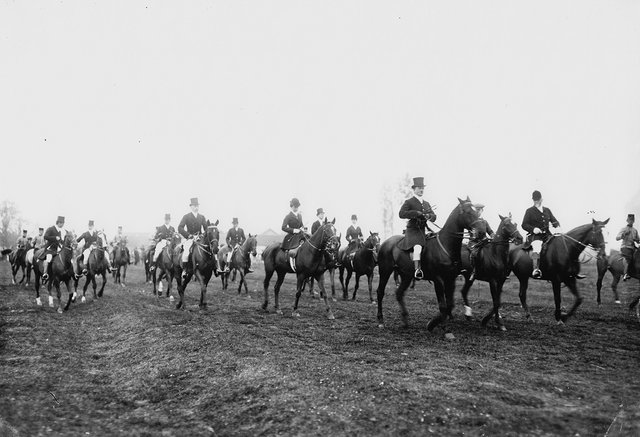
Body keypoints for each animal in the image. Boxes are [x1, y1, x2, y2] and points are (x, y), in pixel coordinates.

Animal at [376, 198, 480, 334]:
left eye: (476, 211)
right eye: (468, 212)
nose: (480, 230)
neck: (445, 246)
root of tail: (386, 242)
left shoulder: (450, 279)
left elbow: (450, 304)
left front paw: (434, 324)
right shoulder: (438, 280)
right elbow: (443, 305)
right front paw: (440, 328)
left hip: (406, 275)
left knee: (399, 293)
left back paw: (405, 321)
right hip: (385, 271)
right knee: (380, 292)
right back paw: (380, 321)